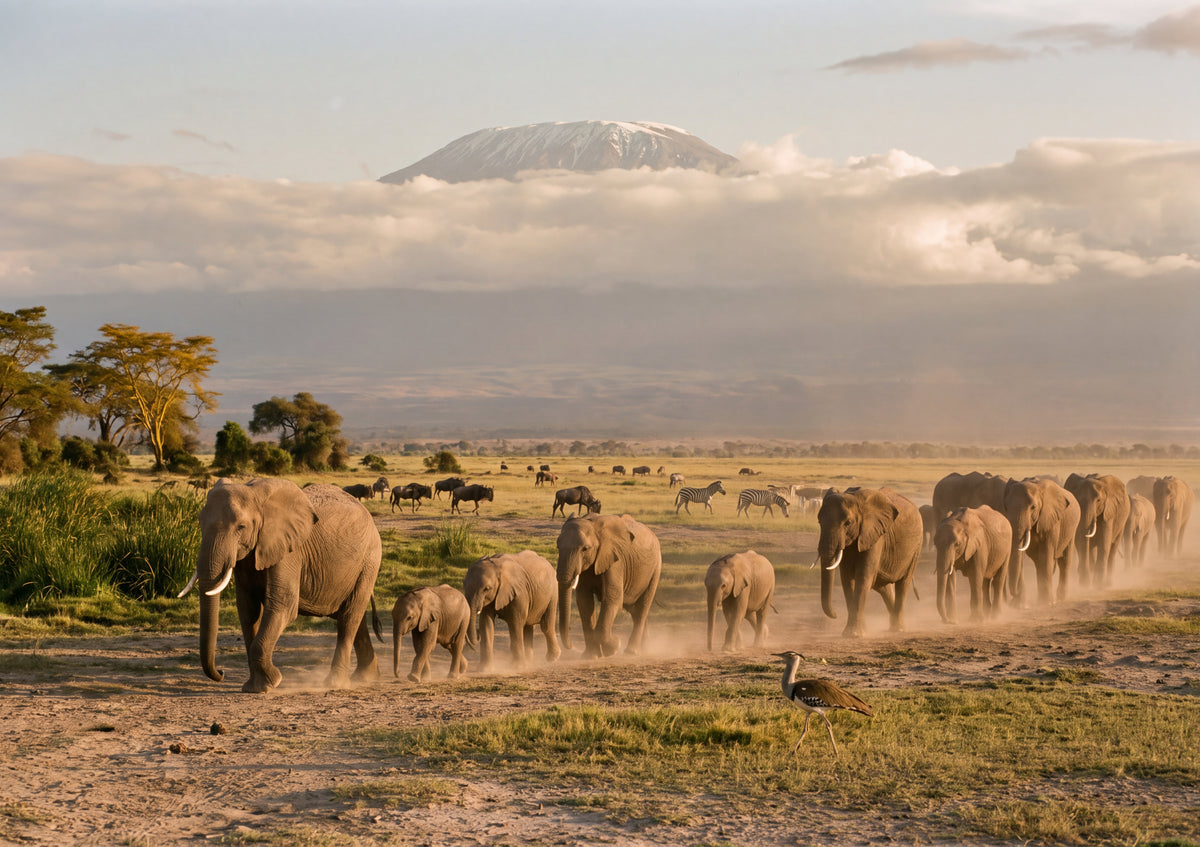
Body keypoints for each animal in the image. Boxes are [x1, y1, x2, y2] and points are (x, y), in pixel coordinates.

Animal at [178, 479, 382, 693]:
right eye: (200, 522)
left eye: (241, 527)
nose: (221, 672)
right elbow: (248, 609)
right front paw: (254, 687)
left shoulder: (289, 551)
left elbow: (282, 605)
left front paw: (271, 683)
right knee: (354, 616)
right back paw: (365, 677)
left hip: (369, 560)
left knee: (349, 617)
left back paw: (335, 683)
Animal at [556, 513, 662, 658]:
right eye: (558, 547)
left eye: (585, 549)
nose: (571, 646)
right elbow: (584, 602)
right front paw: (591, 656)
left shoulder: (615, 561)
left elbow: (613, 599)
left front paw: (614, 647)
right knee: (633, 609)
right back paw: (644, 650)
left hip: (655, 568)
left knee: (641, 608)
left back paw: (631, 652)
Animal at [816, 487, 922, 638]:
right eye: (819, 521)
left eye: (847, 523)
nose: (835, 615)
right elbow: (847, 579)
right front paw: (857, 632)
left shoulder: (874, 535)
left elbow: (863, 577)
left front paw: (854, 634)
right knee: (882, 586)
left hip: (916, 548)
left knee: (903, 583)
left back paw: (898, 629)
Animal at [1003, 477, 1080, 607]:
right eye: (1006, 508)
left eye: (1033, 507)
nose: (1013, 596)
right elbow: (1022, 557)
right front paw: (1019, 605)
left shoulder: (1051, 519)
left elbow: (1046, 554)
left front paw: (1047, 602)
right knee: (1038, 562)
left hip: (1072, 527)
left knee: (1064, 561)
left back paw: (1060, 598)